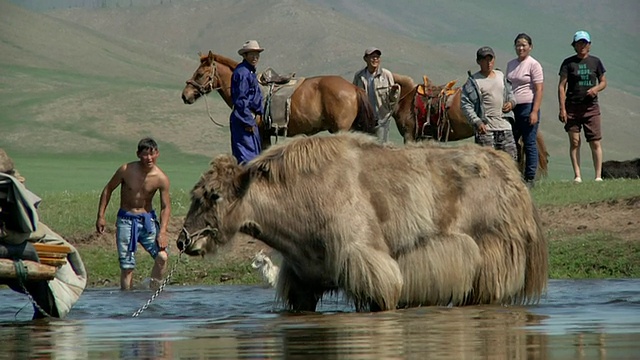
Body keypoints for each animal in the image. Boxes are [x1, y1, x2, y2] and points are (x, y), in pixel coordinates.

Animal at [180, 50, 378, 147]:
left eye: (199, 74)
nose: (185, 95)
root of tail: (353, 88)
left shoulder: (260, 133)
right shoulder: (267, 134)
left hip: (341, 129)